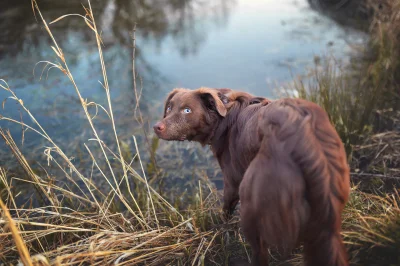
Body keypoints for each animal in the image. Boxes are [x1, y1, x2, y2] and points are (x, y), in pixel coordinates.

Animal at [153, 87, 350, 266]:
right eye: (169, 107)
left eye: (187, 110)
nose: (156, 127)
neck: (224, 116)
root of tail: (305, 136)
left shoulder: (231, 181)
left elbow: (225, 211)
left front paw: (219, 228)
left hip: (252, 197)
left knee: (260, 249)